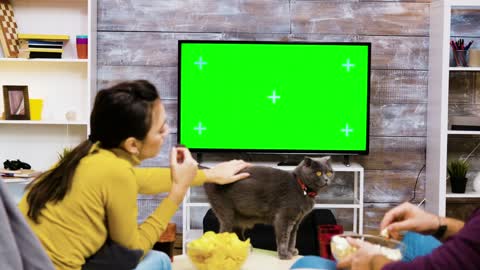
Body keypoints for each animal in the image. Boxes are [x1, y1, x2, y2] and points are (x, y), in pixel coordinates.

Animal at [204, 156, 336, 260]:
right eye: (318, 173)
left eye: (330, 173)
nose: (326, 179)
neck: (302, 187)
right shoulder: (284, 218)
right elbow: (284, 237)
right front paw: (284, 255)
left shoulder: (296, 221)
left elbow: (292, 238)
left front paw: (292, 251)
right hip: (227, 213)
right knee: (223, 232)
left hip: (238, 217)